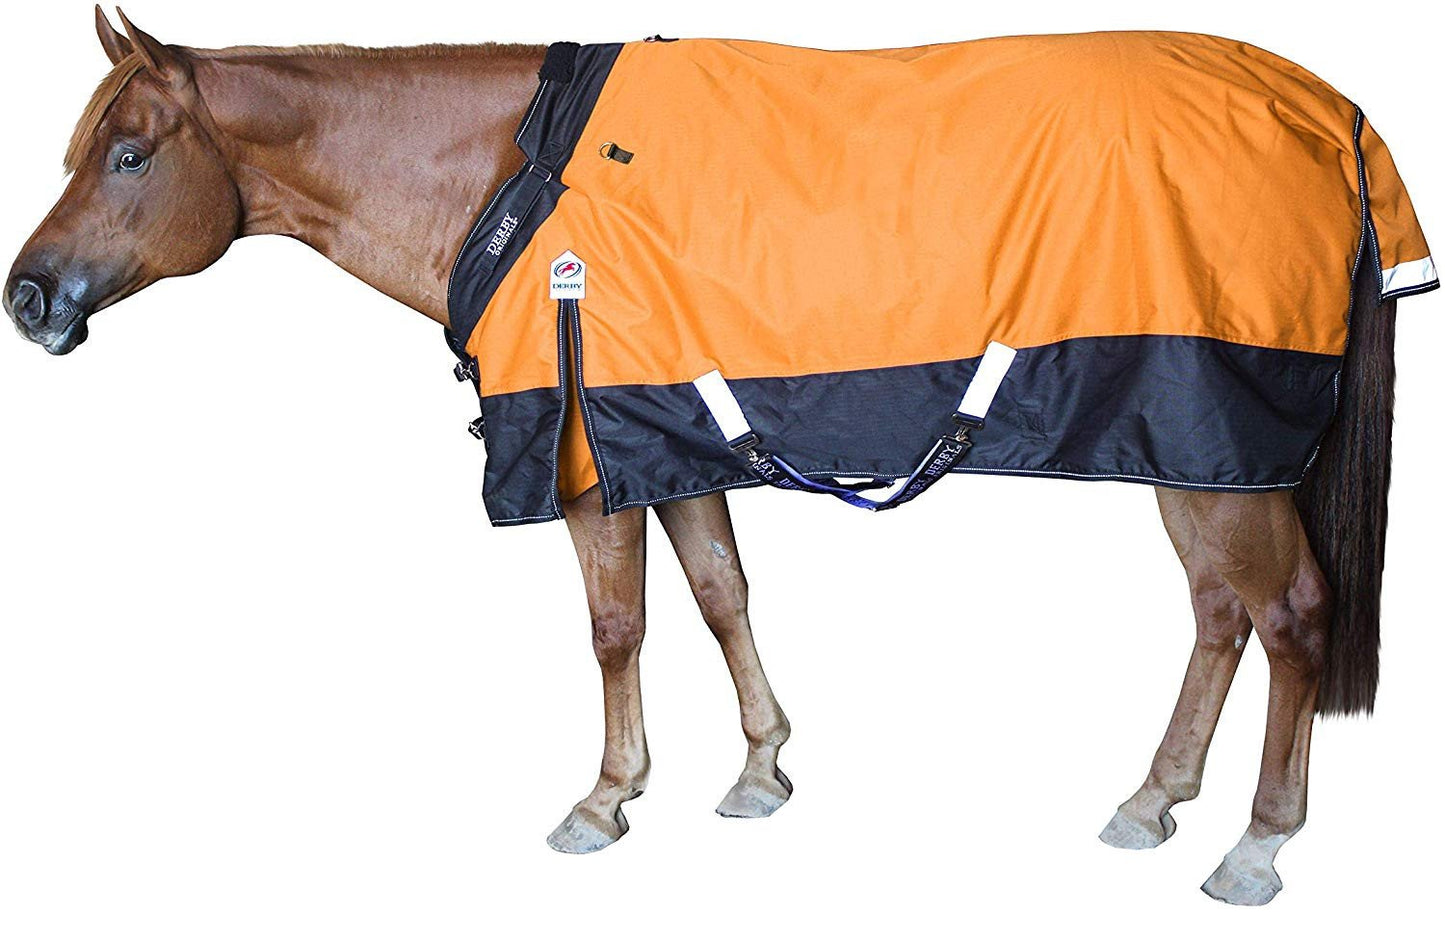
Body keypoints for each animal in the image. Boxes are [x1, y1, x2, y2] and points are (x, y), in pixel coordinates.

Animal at [4, 10, 1428, 906]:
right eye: (81, 148)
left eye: (127, 153)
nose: (28, 298)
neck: (513, 179)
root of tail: (1333, 116)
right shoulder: (665, 441)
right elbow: (718, 593)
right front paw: (758, 769)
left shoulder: (582, 451)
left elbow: (617, 625)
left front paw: (603, 797)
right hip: (1191, 448)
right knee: (1218, 613)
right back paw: (1150, 799)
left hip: (1212, 445)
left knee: (1289, 614)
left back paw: (1254, 847)